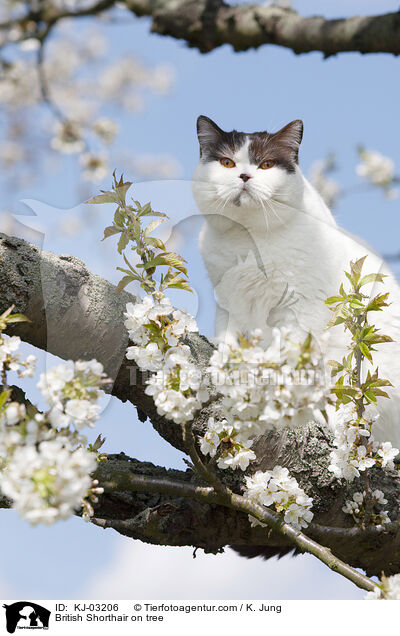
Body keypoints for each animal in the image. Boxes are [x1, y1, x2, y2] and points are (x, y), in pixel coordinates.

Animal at [192, 115, 400, 448]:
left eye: (266, 164)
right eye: (227, 162)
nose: (244, 175)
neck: (248, 241)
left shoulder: (300, 308)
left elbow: (291, 354)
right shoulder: (228, 301)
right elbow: (229, 336)